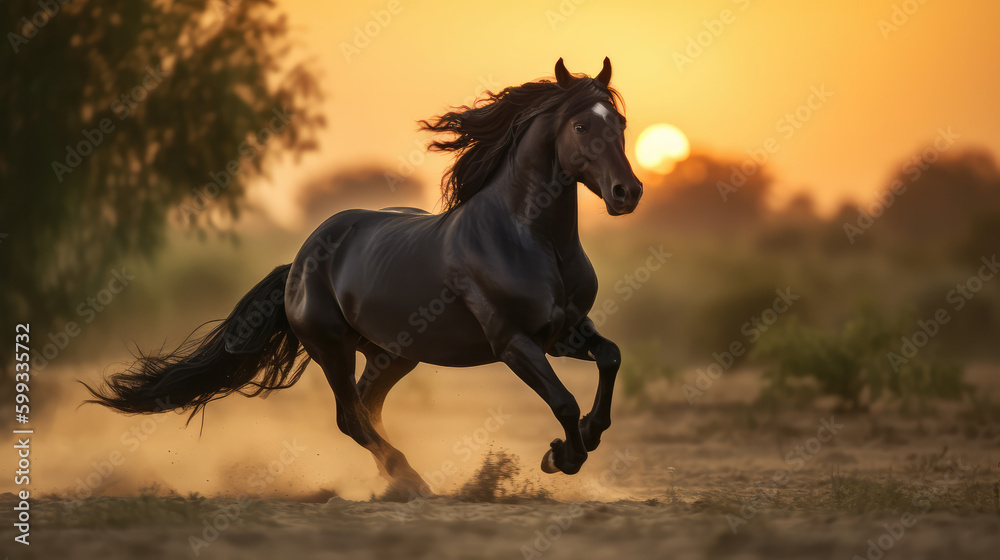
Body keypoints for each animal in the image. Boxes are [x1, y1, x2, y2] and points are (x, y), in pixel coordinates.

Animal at [88, 55, 648, 494]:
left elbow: (612, 358)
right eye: (581, 127)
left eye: (620, 124)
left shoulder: (564, 332)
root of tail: (300, 261)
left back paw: (396, 477)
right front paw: (561, 457)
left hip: (393, 352)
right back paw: (411, 480)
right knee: (350, 416)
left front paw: (588, 436)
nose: (628, 192)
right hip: (331, 346)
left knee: (367, 408)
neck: (532, 240)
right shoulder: (513, 341)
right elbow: (564, 401)